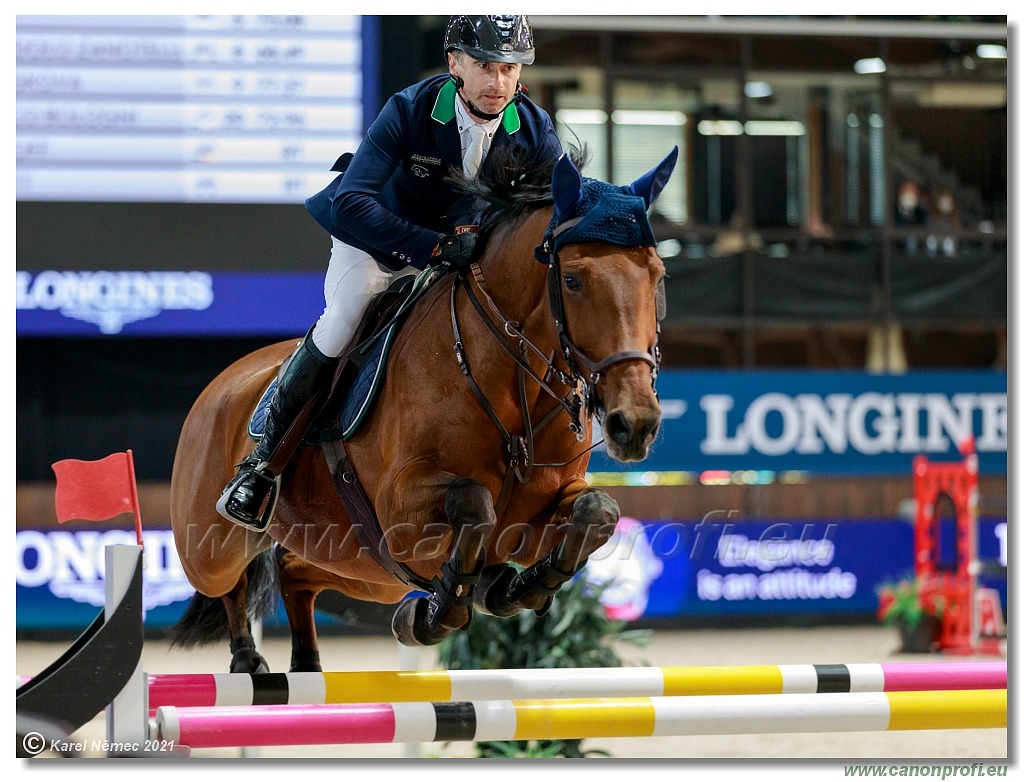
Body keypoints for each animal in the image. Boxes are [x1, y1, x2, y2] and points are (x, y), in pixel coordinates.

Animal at [167, 142, 679, 671]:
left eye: (657, 277)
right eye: (574, 281)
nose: (634, 424)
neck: (510, 383)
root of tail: (225, 381)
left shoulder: (534, 516)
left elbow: (596, 511)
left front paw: (516, 589)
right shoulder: (400, 514)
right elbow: (473, 503)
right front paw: (441, 612)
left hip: (364, 567)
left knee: (294, 571)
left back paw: (309, 662)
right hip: (213, 545)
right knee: (228, 582)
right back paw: (249, 655)